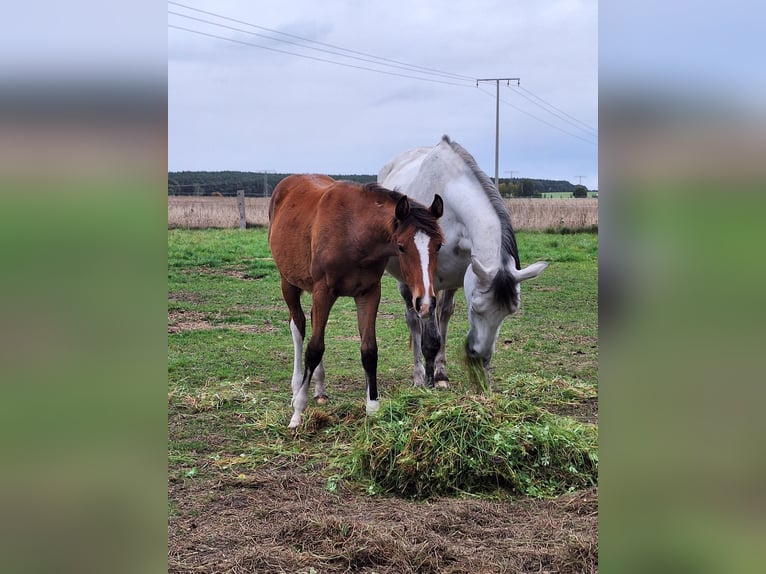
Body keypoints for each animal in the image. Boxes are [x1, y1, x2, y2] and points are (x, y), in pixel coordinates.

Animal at [268, 174, 444, 428]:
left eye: (439, 244)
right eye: (401, 247)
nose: (426, 302)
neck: (353, 232)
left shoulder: (369, 293)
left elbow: (369, 350)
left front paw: (373, 408)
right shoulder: (323, 291)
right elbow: (314, 348)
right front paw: (298, 413)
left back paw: (320, 389)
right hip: (288, 282)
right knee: (298, 326)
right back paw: (296, 389)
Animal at [378, 135, 548, 388]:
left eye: (509, 312)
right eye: (475, 308)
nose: (478, 355)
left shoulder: (458, 280)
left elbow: (444, 320)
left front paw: (447, 376)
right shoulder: (429, 282)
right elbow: (431, 337)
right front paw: (428, 381)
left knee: (442, 314)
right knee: (413, 319)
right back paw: (419, 376)